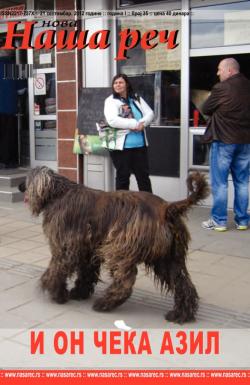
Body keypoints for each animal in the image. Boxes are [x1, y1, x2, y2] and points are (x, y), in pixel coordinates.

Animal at [19, 166, 209, 322]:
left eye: (27, 179)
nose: (19, 186)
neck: (59, 192)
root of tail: (167, 208)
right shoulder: (87, 250)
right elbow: (85, 273)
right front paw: (78, 292)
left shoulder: (66, 247)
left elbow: (57, 269)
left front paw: (55, 292)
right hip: (168, 259)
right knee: (183, 284)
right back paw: (181, 314)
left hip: (119, 248)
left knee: (125, 282)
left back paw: (105, 303)